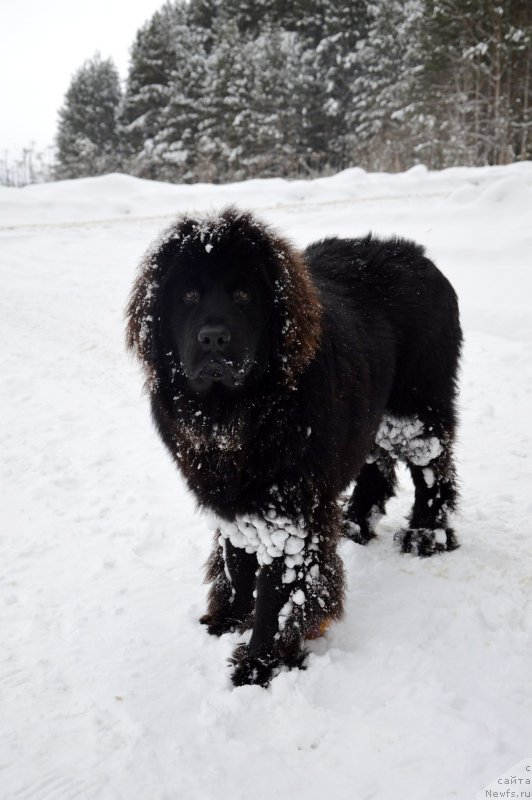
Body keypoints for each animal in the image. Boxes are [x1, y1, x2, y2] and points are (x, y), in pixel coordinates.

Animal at [125, 208, 462, 688]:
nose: (213, 338)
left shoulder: (291, 511)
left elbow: (280, 593)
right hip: (370, 412)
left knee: (433, 467)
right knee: (375, 464)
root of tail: (419, 255)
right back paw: (354, 524)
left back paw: (426, 535)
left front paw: (257, 666)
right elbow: (237, 562)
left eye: (244, 293)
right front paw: (228, 621)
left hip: (414, 410)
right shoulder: (237, 499)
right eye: (188, 294)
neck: (238, 414)